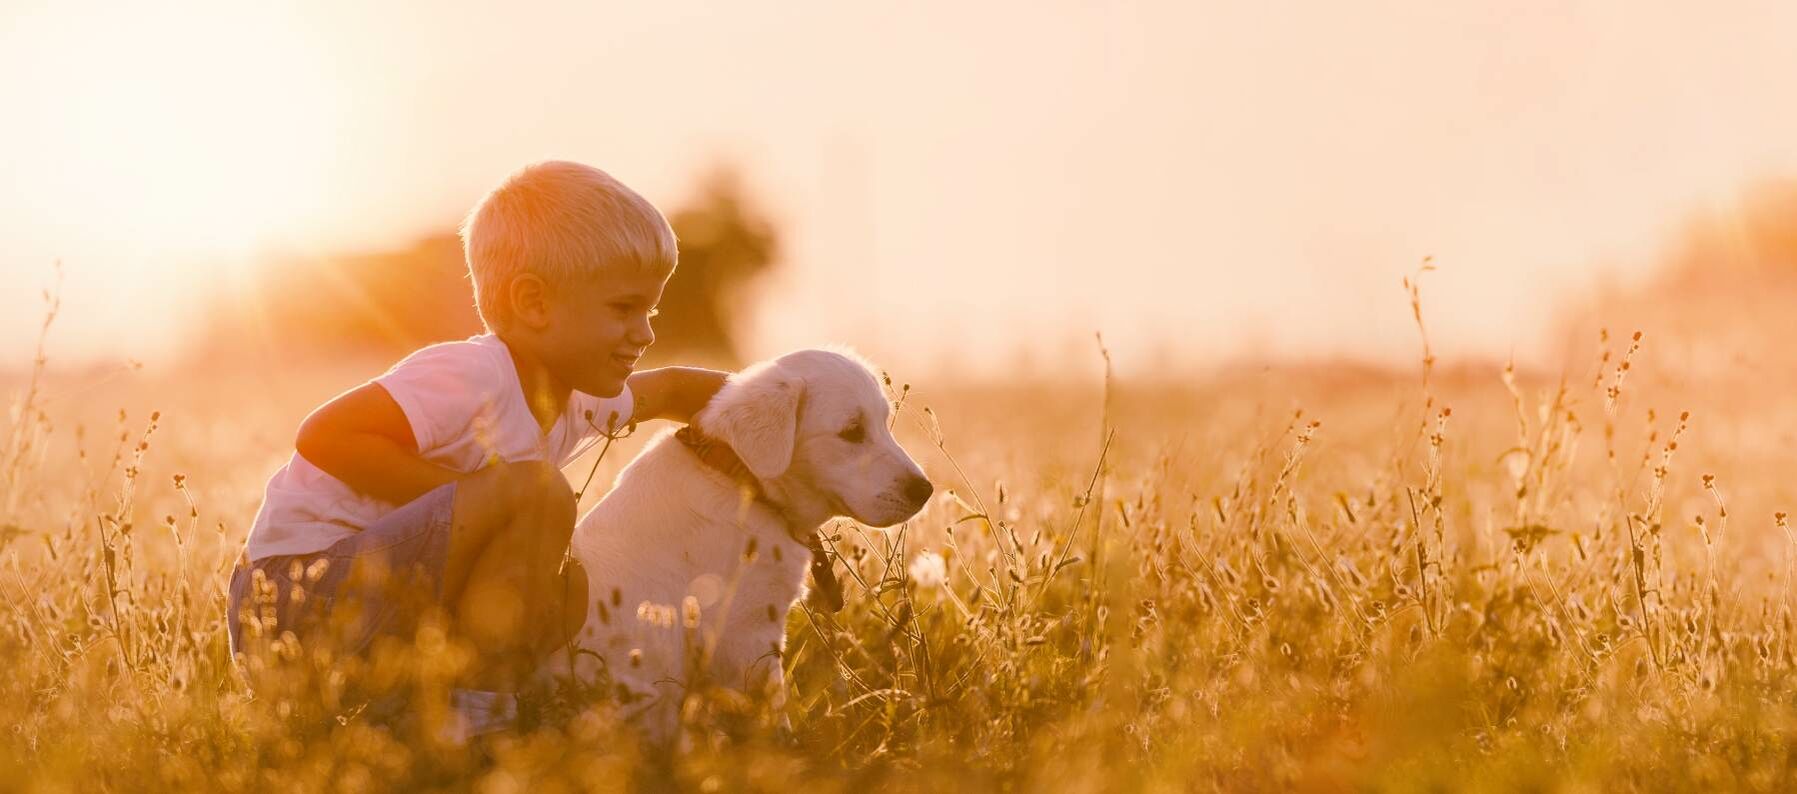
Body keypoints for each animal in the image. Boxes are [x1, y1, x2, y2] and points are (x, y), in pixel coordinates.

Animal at [542, 350, 934, 740]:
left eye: (884, 424)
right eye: (852, 431)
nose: (925, 490)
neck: (743, 481)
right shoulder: (746, 634)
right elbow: (770, 709)